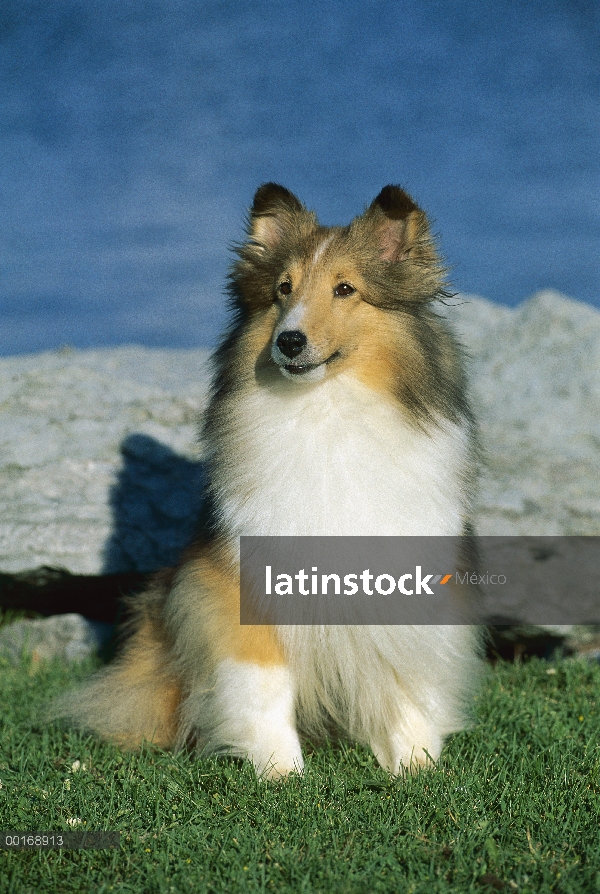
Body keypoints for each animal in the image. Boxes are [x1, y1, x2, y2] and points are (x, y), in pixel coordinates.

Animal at [55, 186, 478, 780]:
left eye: (345, 289)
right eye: (283, 289)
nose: (290, 342)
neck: (325, 413)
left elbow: (405, 680)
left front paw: (416, 764)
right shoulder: (241, 582)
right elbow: (263, 683)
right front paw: (281, 772)